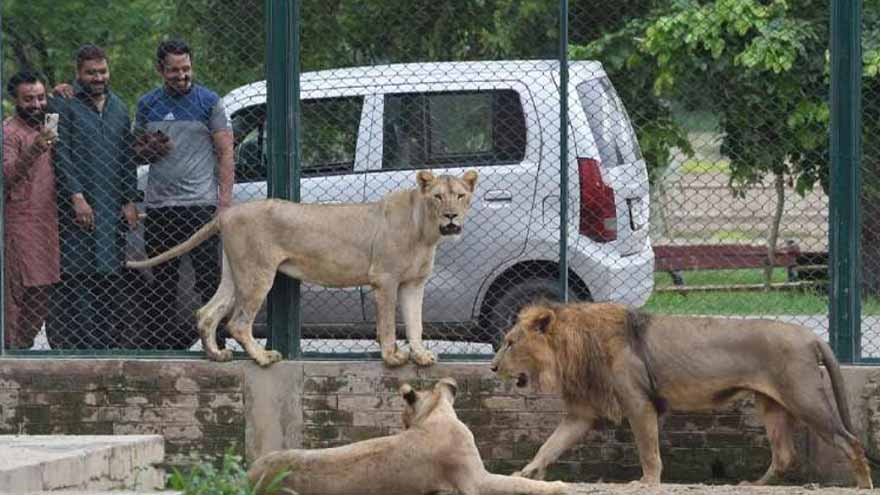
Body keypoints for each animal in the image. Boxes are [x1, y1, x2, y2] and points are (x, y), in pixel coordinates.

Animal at [127, 170, 478, 367]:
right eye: (438, 197)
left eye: (461, 196)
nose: (451, 217)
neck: (426, 231)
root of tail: (227, 213)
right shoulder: (385, 279)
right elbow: (390, 325)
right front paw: (392, 358)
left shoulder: (414, 283)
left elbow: (415, 323)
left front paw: (421, 355)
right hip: (257, 274)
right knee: (238, 323)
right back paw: (263, 357)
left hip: (235, 274)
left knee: (207, 313)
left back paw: (216, 355)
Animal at [247, 377, 569, 495]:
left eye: (403, 421)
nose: (402, 426)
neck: (435, 415)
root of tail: (249, 474)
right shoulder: (475, 481)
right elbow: (520, 483)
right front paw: (558, 485)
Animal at [491, 301, 873, 489]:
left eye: (510, 342)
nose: (492, 368)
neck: (572, 349)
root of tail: (812, 335)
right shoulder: (581, 414)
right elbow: (548, 446)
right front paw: (525, 474)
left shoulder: (639, 403)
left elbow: (648, 450)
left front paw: (646, 482)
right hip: (773, 405)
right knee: (785, 454)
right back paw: (753, 484)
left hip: (804, 397)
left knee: (850, 441)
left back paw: (863, 485)